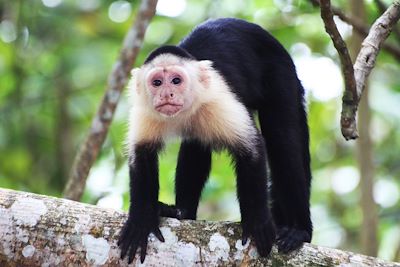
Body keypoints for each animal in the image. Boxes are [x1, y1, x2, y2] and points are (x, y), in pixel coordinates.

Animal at [119, 17, 312, 264]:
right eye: (157, 83)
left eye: (176, 80)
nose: (166, 95)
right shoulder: (144, 111)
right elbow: (141, 156)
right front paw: (142, 219)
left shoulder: (218, 99)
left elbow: (252, 147)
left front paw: (257, 221)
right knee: (195, 145)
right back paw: (182, 212)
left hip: (281, 74)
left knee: (283, 140)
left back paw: (300, 230)